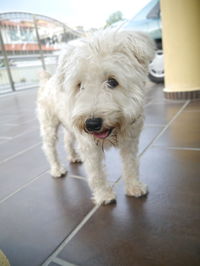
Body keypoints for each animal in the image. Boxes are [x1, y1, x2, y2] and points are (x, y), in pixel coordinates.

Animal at [36, 30, 155, 206]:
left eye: (112, 81)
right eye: (79, 85)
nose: (92, 124)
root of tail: (47, 79)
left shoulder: (130, 142)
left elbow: (131, 164)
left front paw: (134, 186)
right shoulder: (89, 147)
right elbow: (96, 174)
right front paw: (104, 195)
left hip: (70, 126)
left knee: (67, 140)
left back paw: (73, 157)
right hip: (49, 125)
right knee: (49, 147)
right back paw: (57, 169)